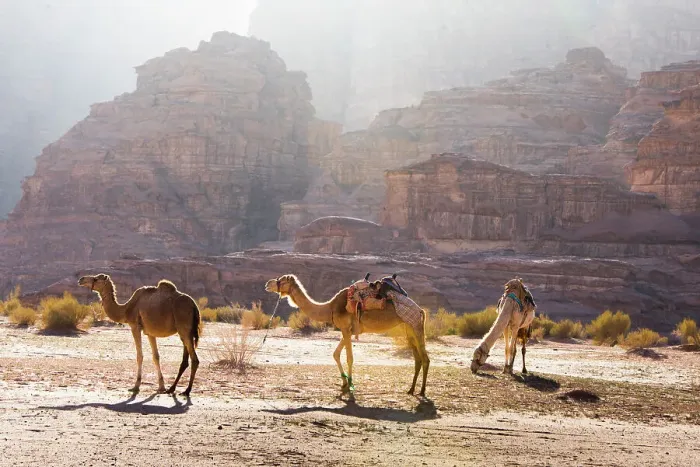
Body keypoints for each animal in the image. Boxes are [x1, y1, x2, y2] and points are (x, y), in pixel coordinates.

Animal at [265, 274, 430, 396]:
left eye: (282, 280)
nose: (267, 284)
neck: (330, 307)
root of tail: (421, 310)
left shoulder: (345, 329)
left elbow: (349, 357)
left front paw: (350, 384)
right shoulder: (348, 331)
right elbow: (336, 354)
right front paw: (344, 383)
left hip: (415, 324)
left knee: (425, 358)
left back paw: (422, 392)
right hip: (408, 327)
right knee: (417, 358)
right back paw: (411, 390)